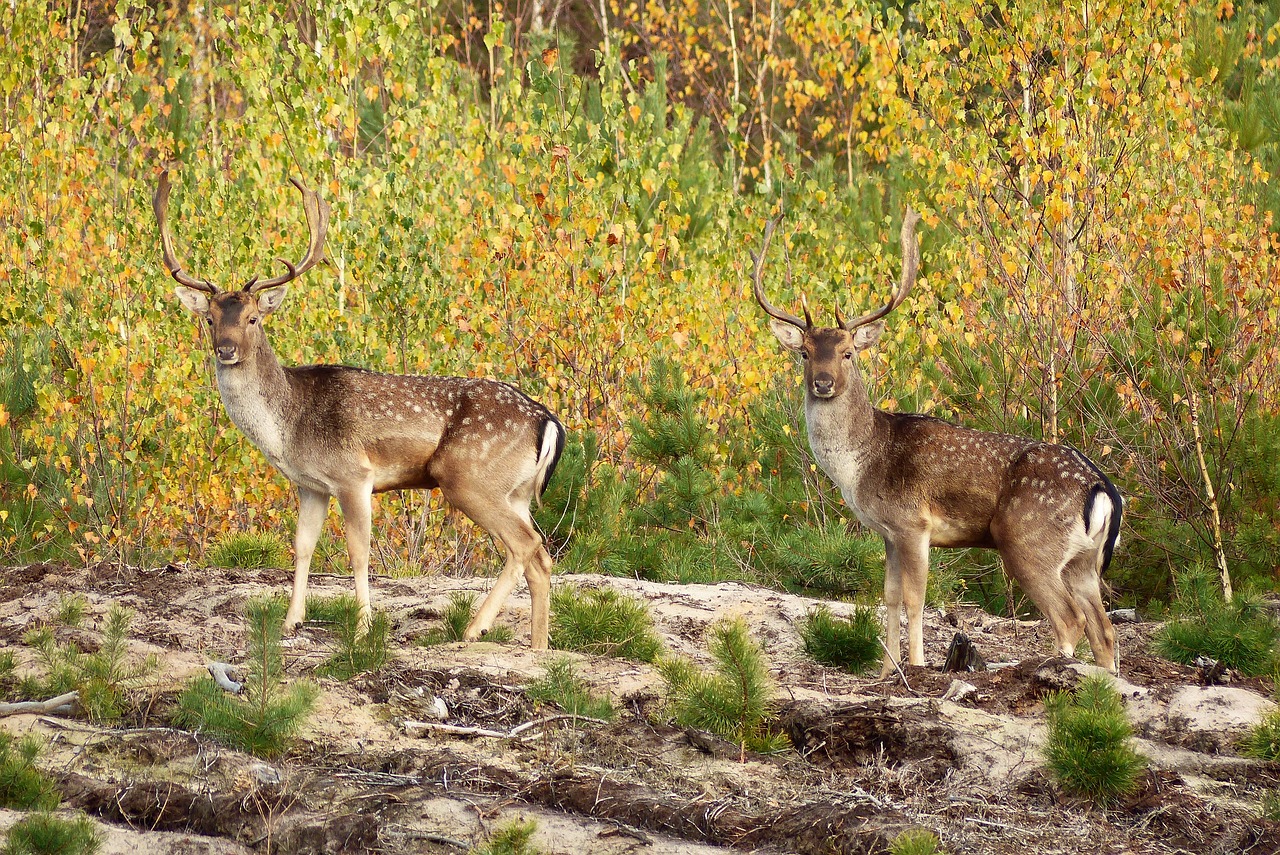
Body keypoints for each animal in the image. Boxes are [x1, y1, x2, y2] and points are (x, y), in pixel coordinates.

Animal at [156, 171, 565, 647]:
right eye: (210, 319)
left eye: (253, 319)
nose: (225, 350)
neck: (288, 427)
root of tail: (547, 421)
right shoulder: (311, 485)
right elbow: (303, 547)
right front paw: (291, 621)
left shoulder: (354, 475)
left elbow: (358, 553)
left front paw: (364, 627)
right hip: (515, 492)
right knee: (540, 557)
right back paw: (537, 648)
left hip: (468, 477)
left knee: (526, 546)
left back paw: (474, 628)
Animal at [752, 212, 1126, 675]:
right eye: (804, 352)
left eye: (848, 353)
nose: (822, 382)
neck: (861, 465)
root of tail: (1102, 488)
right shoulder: (889, 531)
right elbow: (890, 597)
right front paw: (886, 670)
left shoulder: (914, 523)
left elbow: (916, 599)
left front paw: (914, 665)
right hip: (1083, 561)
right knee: (1103, 628)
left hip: (1027, 539)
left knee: (1070, 619)